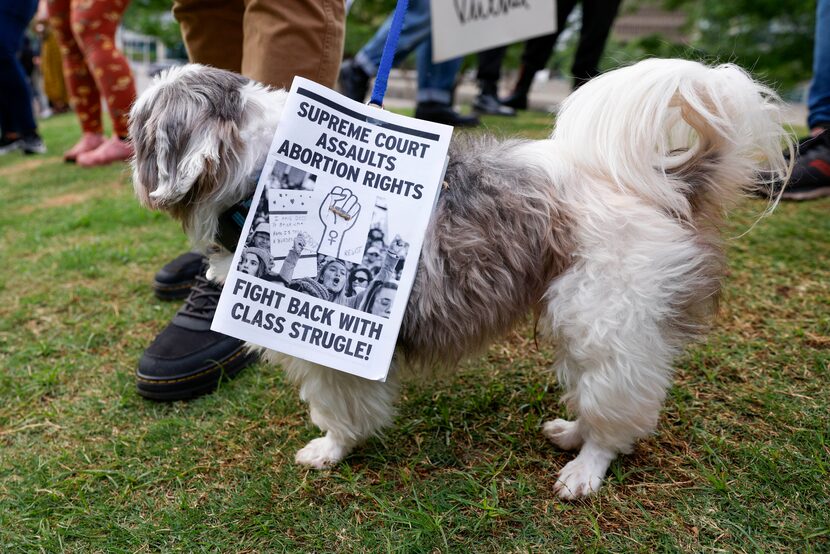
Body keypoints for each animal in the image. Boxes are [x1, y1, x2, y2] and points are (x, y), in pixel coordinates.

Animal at [130, 59, 792, 496]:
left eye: (138, 127)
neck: (263, 171)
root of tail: (667, 186)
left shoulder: (332, 355)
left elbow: (341, 410)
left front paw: (331, 450)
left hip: (608, 320)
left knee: (621, 408)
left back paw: (586, 467)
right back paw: (571, 432)